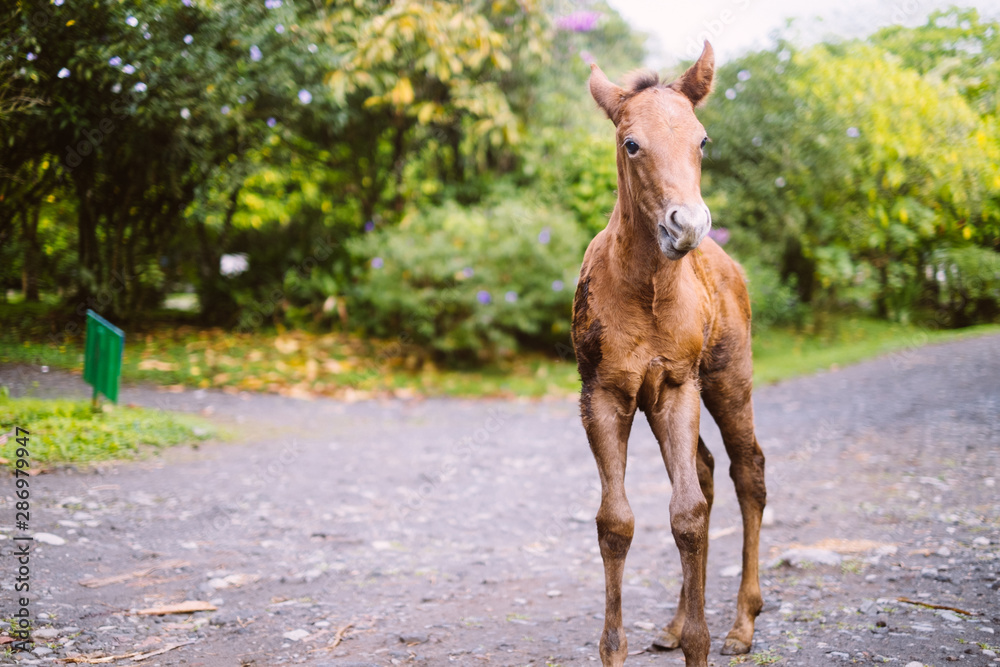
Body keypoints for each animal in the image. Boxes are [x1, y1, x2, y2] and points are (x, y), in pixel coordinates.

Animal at [571, 42, 767, 667]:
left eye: (702, 140)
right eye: (632, 143)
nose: (688, 225)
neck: (649, 293)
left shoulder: (680, 384)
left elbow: (688, 516)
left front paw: (701, 645)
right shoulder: (604, 391)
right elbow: (617, 520)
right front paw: (616, 648)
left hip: (728, 376)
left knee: (747, 471)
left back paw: (741, 624)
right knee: (705, 470)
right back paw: (676, 625)